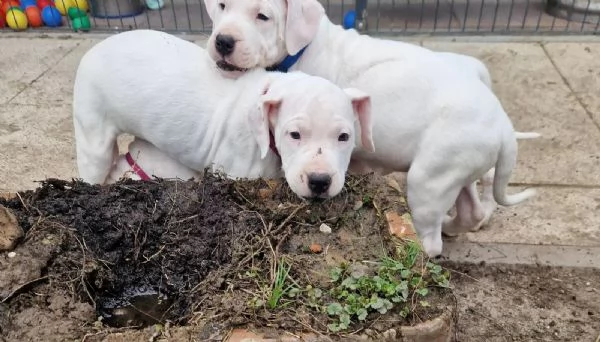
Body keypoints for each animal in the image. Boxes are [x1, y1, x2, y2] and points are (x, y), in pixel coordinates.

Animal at [205, 0, 540, 256]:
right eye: (222, 6)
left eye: (262, 16)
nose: (223, 41)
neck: (305, 47)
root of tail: (504, 127)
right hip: (458, 169)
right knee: (472, 210)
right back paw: (452, 225)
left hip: (430, 177)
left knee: (432, 240)